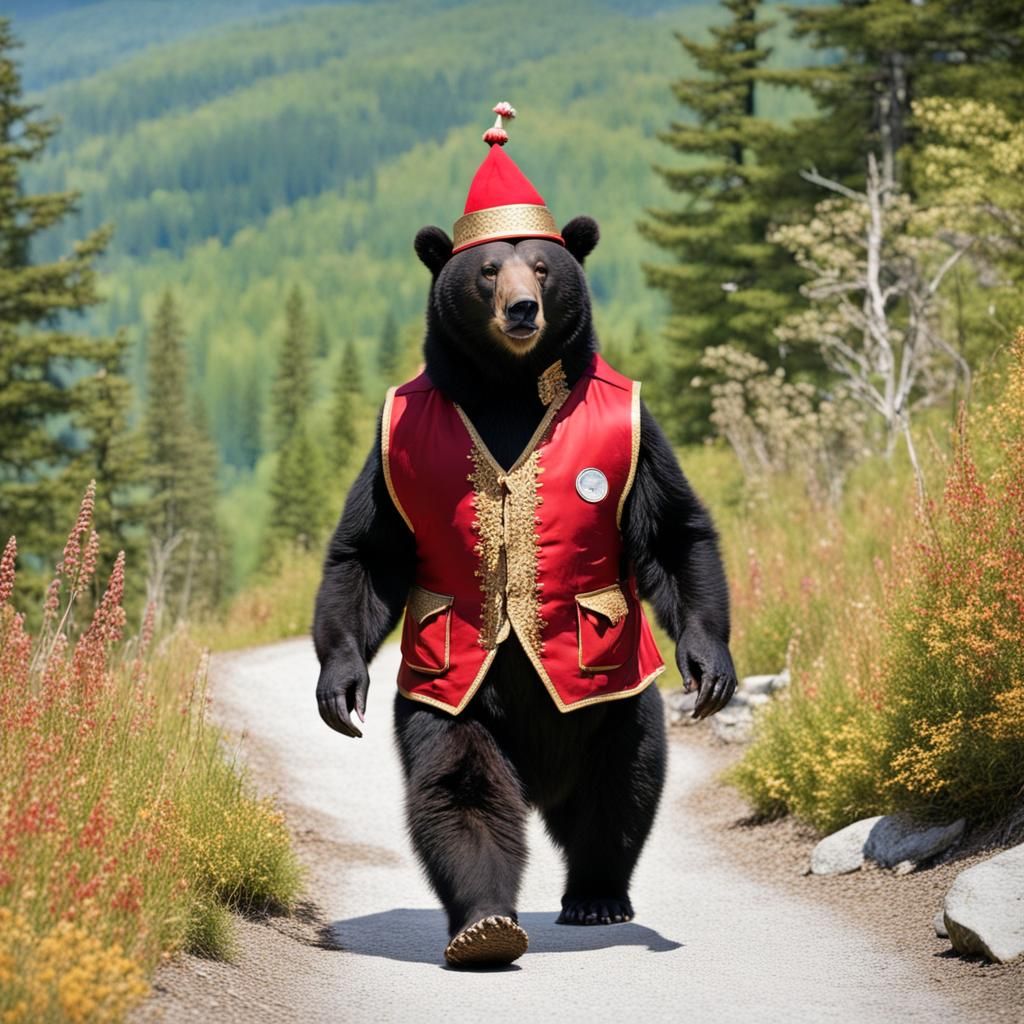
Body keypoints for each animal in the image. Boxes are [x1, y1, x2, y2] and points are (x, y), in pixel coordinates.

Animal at [312, 215, 737, 967]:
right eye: (488, 270)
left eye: (541, 266)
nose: (521, 309)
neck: (508, 386)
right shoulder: (390, 454)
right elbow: (368, 551)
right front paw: (340, 685)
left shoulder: (644, 440)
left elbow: (673, 530)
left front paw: (709, 663)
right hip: (462, 685)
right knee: (461, 779)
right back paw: (486, 921)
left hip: (612, 702)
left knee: (620, 787)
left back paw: (598, 895)